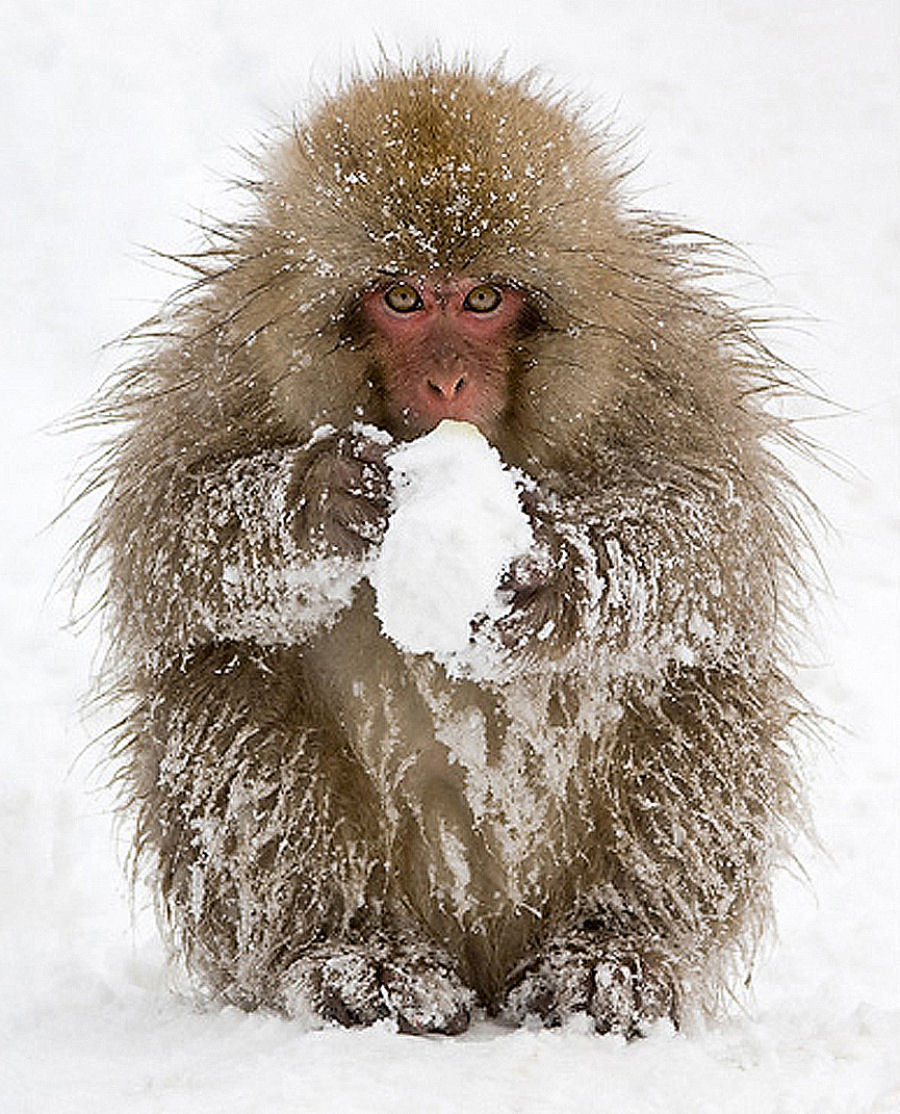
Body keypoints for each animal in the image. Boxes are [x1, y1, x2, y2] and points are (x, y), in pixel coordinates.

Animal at [82, 58, 806, 1033]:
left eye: (484, 299)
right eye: (402, 298)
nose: (448, 380)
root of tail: (486, 955)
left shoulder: (664, 362)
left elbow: (713, 538)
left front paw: (554, 577)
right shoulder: (230, 359)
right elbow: (167, 536)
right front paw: (319, 501)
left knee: (702, 688)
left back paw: (611, 951)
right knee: (222, 679)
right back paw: (353, 953)